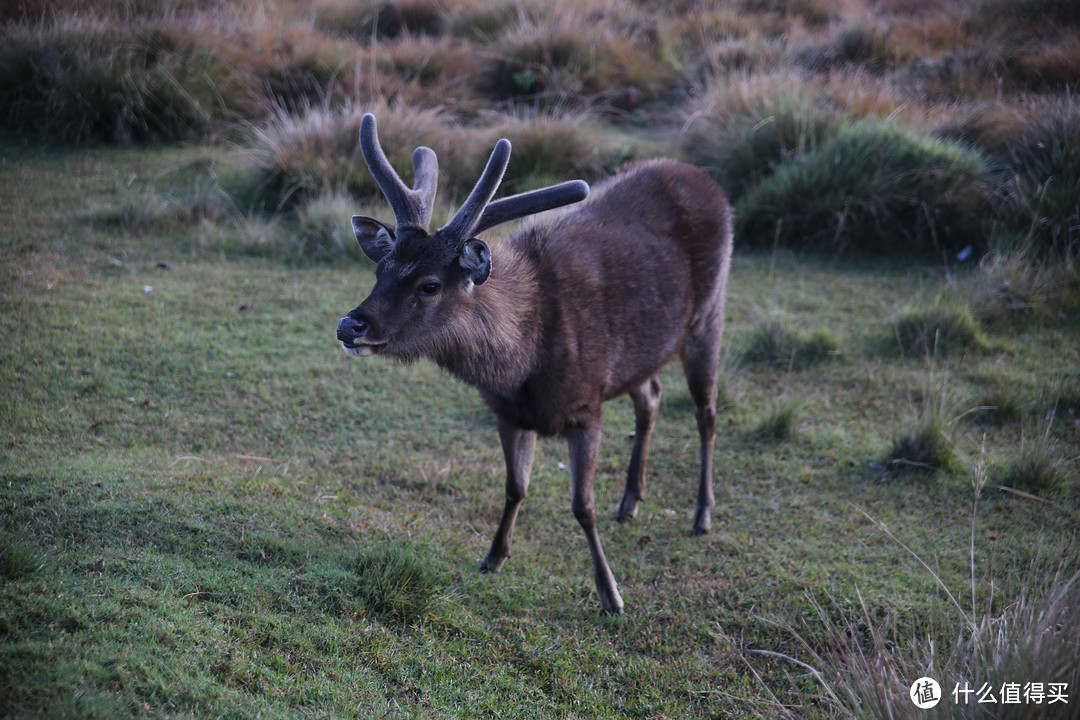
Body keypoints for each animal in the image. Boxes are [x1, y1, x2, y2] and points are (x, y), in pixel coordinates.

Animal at [339, 115, 734, 617]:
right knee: (652, 396)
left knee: (707, 411)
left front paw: (611, 594)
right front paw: (493, 557)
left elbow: (582, 505)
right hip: (641, 354)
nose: (350, 325)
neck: (524, 361)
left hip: (709, 315)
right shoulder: (507, 411)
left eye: (429, 285)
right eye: (380, 270)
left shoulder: (587, 406)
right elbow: (515, 486)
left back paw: (702, 514)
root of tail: (706, 179)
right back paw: (630, 500)